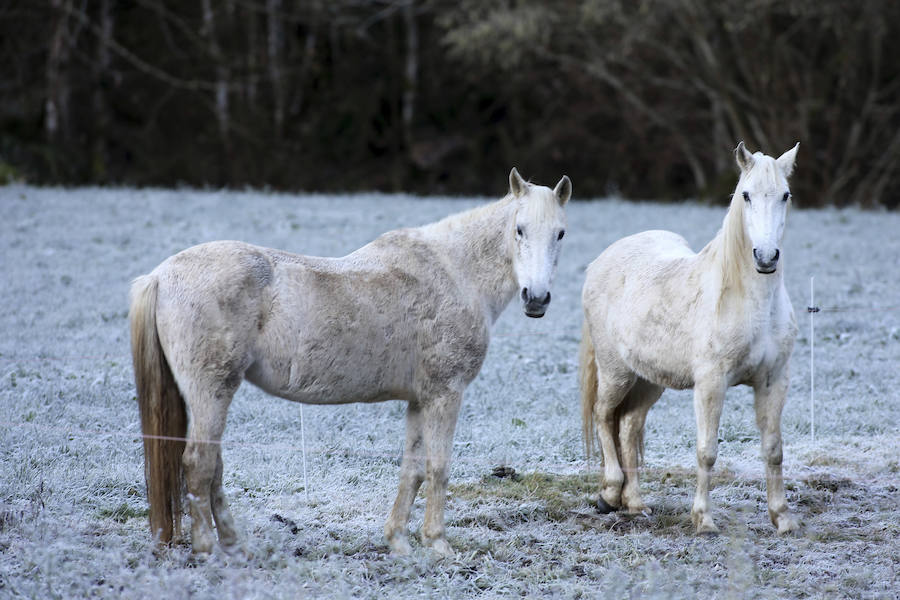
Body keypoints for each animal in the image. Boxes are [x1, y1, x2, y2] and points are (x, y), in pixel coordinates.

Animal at [131, 166, 572, 556]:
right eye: (519, 229)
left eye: (561, 233)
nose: (537, 298)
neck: (454, 273)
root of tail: (161, 275)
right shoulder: (445, 395)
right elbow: (438, 467)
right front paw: (438, 543)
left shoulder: (420, 400)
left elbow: (412, 469)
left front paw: (399, 541)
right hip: (211, 392)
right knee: (199, 464)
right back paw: (208, 548)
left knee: (214, 466)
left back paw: (233, 543)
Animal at [584, 144, 800, 536]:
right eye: (746, 195)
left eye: (785, 195)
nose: (765, 257)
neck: (751, 302)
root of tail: (603, 260)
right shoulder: (711, 384)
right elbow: (707, 451)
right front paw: (703, 519)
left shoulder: (774, 379)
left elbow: (774, 450)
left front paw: (782, 518)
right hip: (615, 372)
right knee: (604, 416)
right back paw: (608, 494)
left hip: (649, 379)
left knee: (628, 426)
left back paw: (634, 503)